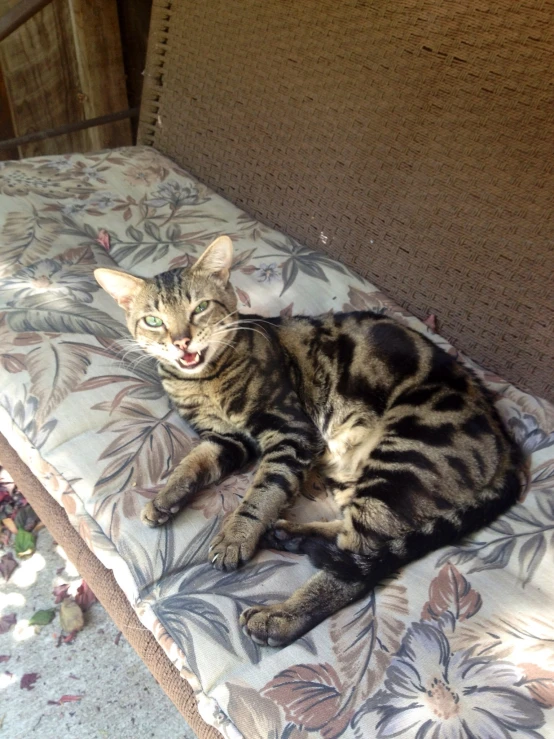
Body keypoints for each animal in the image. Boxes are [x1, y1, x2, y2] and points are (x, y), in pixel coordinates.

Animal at [95, 237, 520, 648]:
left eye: (200, 308)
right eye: (153, 321)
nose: (182, 342)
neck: (201, 381)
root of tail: (506, 440)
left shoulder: (290, 431)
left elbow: (261, 493)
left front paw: (236, 536)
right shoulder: (227, 439)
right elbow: (193, 463)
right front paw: (166, 498)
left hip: (401, 458)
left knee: (359, 563)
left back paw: (279, 617)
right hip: (360, 475)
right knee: (355, 538)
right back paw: (291, 535)